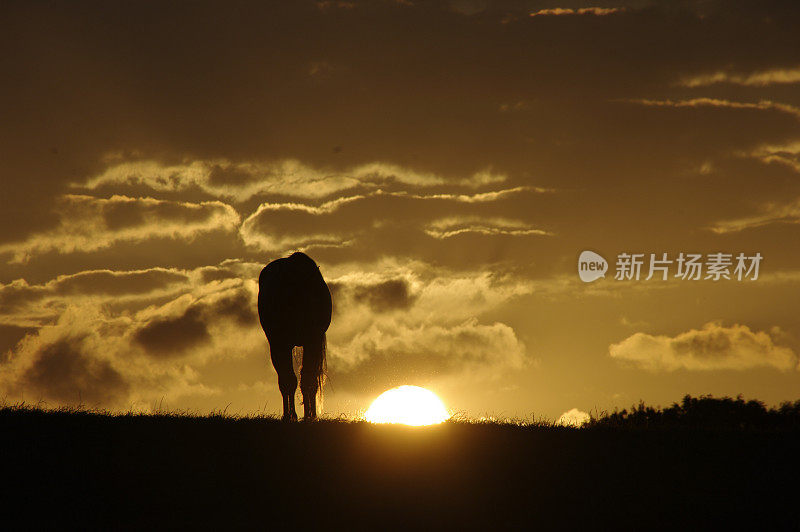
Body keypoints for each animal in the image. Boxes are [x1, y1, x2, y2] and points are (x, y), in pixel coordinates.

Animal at [258, 251, 330, 422]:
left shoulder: (313, 341)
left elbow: (308, 379)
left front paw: (310, 416)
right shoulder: (278, 344)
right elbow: (288, 380)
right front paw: (289, 415)